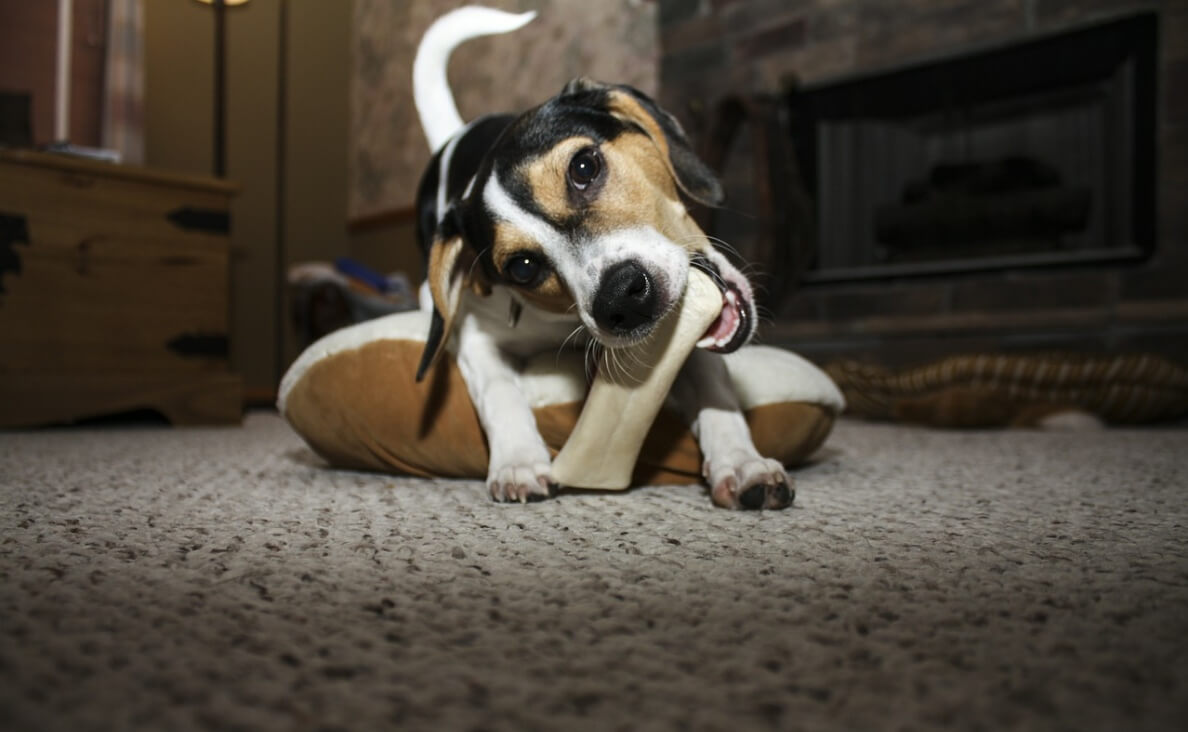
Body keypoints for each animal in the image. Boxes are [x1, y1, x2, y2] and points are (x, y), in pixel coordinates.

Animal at [413, 7, 793, 508]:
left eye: (583, 167)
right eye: (523, 267)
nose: (623, 300)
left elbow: (714, 389)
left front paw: (742, 461)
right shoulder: (476, 335)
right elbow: (500, 391)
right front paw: (518, 461)